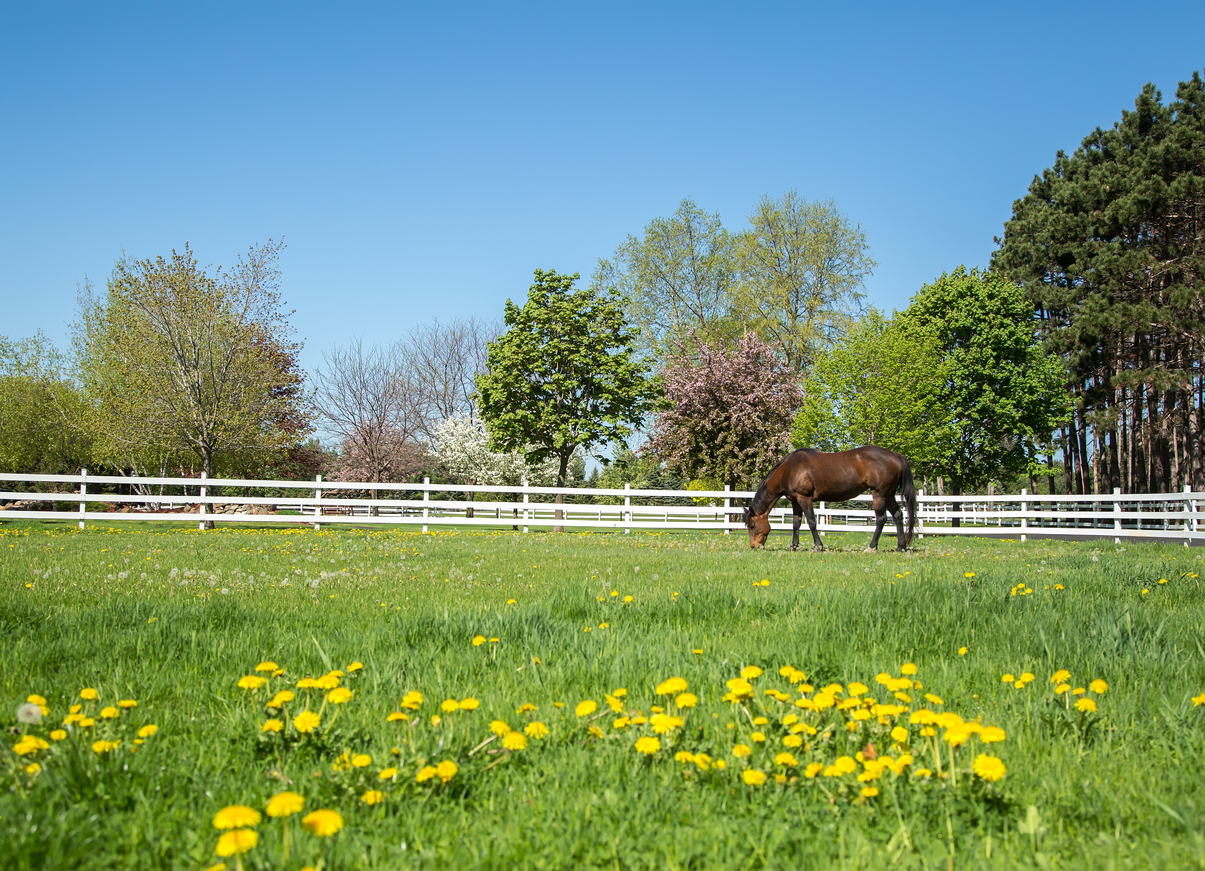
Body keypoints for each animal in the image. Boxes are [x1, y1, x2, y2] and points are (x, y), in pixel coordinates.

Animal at [737, 450, 915, 551]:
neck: (790, 469)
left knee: (882, 518)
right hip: (889, 494)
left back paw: (872, 547)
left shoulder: (805, 498)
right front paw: (794, 546)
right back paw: (900, 547)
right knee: (898, 516)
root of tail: (896, 455)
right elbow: (796, 523)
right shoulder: (795, 501)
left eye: (752, 525)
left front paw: (818, 546)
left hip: (879, 494)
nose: (754, 546)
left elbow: (811, 521)